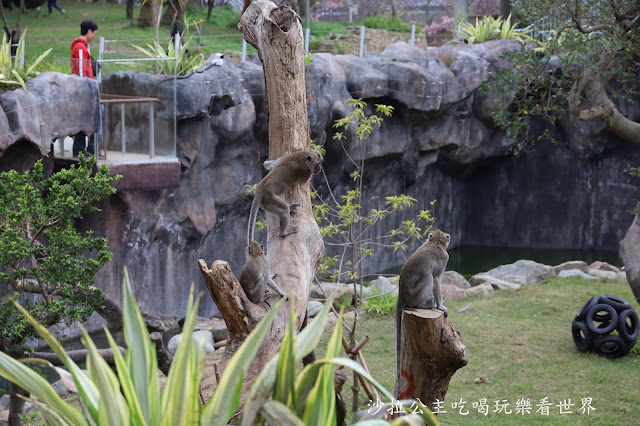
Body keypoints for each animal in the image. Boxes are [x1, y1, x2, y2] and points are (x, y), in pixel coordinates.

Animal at [396, 231, 450, 382]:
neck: (435, 243)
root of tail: (401, 294)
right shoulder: (444, 258)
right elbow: (436, 279)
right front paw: (440, 306)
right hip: (414, 294)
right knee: (429, 277)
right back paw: (424, 304)